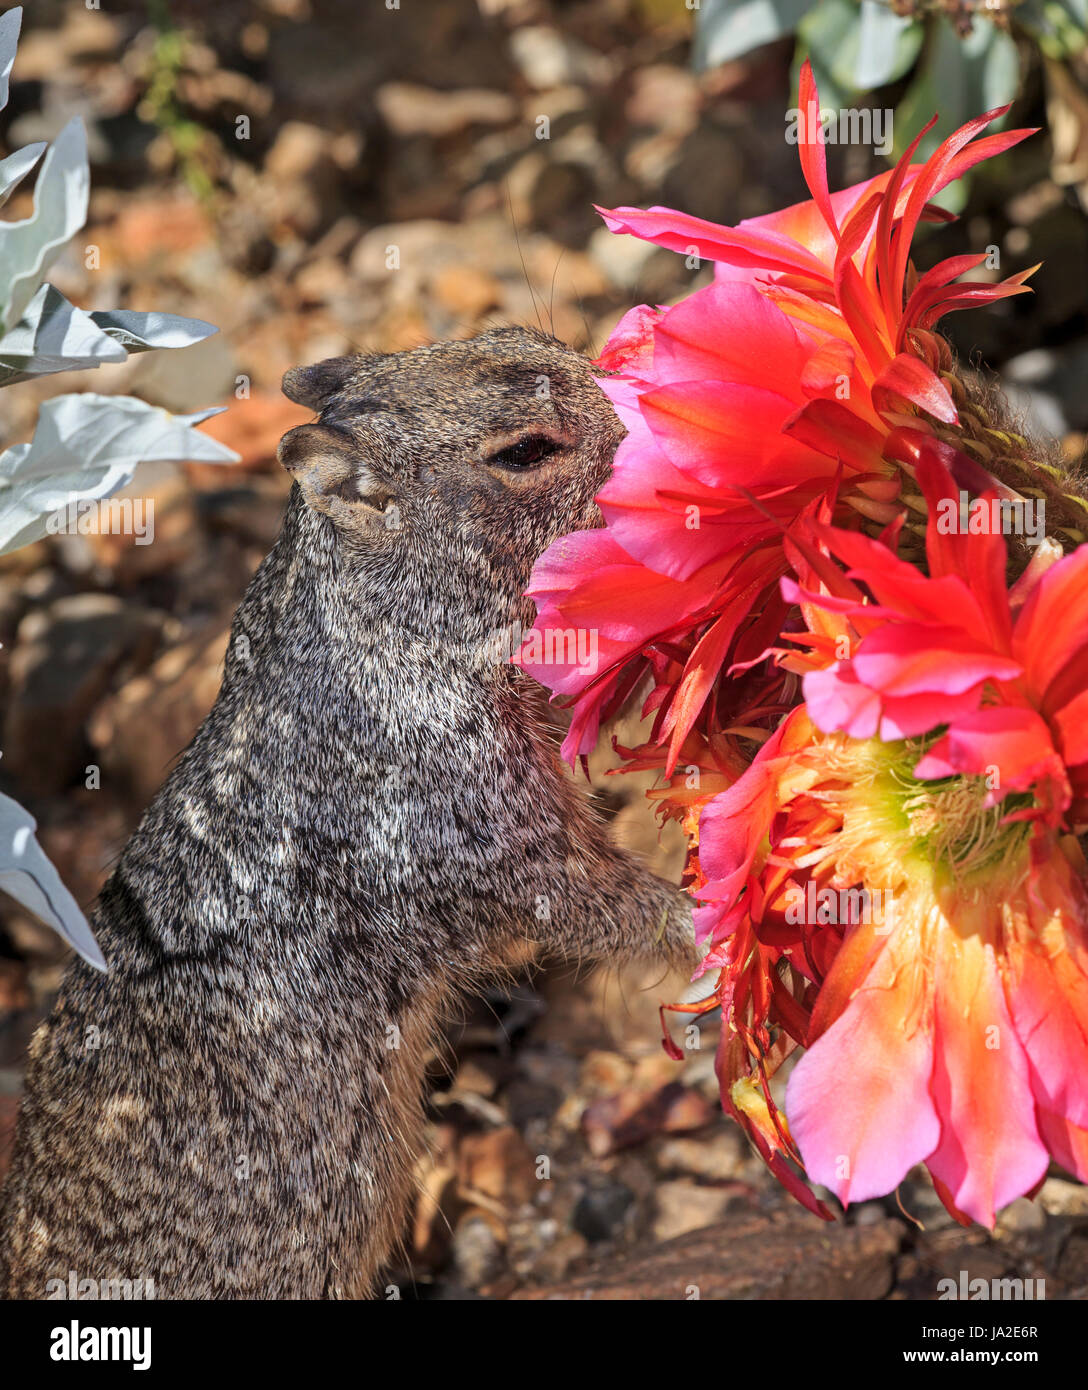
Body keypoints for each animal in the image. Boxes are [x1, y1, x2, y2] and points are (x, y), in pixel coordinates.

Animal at [0, 326, 695, 1300]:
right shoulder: (491, 826)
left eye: (535, 339)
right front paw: (704, 925)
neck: (360, 621)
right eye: (525, 452)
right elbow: (597, 903)